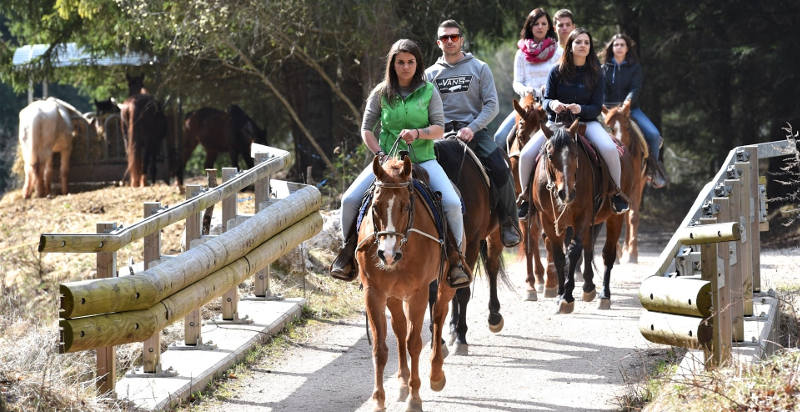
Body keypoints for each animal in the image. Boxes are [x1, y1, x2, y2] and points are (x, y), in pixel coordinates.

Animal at [356, 155, 453, 412]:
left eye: (406, 206)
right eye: (375, 206)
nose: (387, 255)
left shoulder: (419, 293)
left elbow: (415, 343)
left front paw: (415, 398)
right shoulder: (374, 293)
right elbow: (380, 348)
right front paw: (379, 400)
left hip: (444, 282)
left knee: (438, 316)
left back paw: (436, 375)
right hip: (394, 295)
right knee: (400, 328)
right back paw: (401, 381)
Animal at [432, 136, 508, 355]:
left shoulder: (473, 243)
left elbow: (463, 292)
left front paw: (461, 338)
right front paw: (446, 336)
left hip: (494, 235)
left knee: (492, 268)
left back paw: (494, 317)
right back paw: (451, 327)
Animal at [531, 119, 633, 313]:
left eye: (575, 155)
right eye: (550, 155)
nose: (566, 193)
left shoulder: (583, 216)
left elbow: (573, 252)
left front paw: (567, 298)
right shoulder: (548, 219)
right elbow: (559, 256)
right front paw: (560, 294)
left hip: (614, 218)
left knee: (607, 254)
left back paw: (604, 296)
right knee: (589, 247)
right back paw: (588, 288)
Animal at [602, 104, 648, 263]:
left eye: (627, 126)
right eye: (609, 127)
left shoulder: (636, 185)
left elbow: (632, 217)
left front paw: (632, 254)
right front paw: (616, 254)